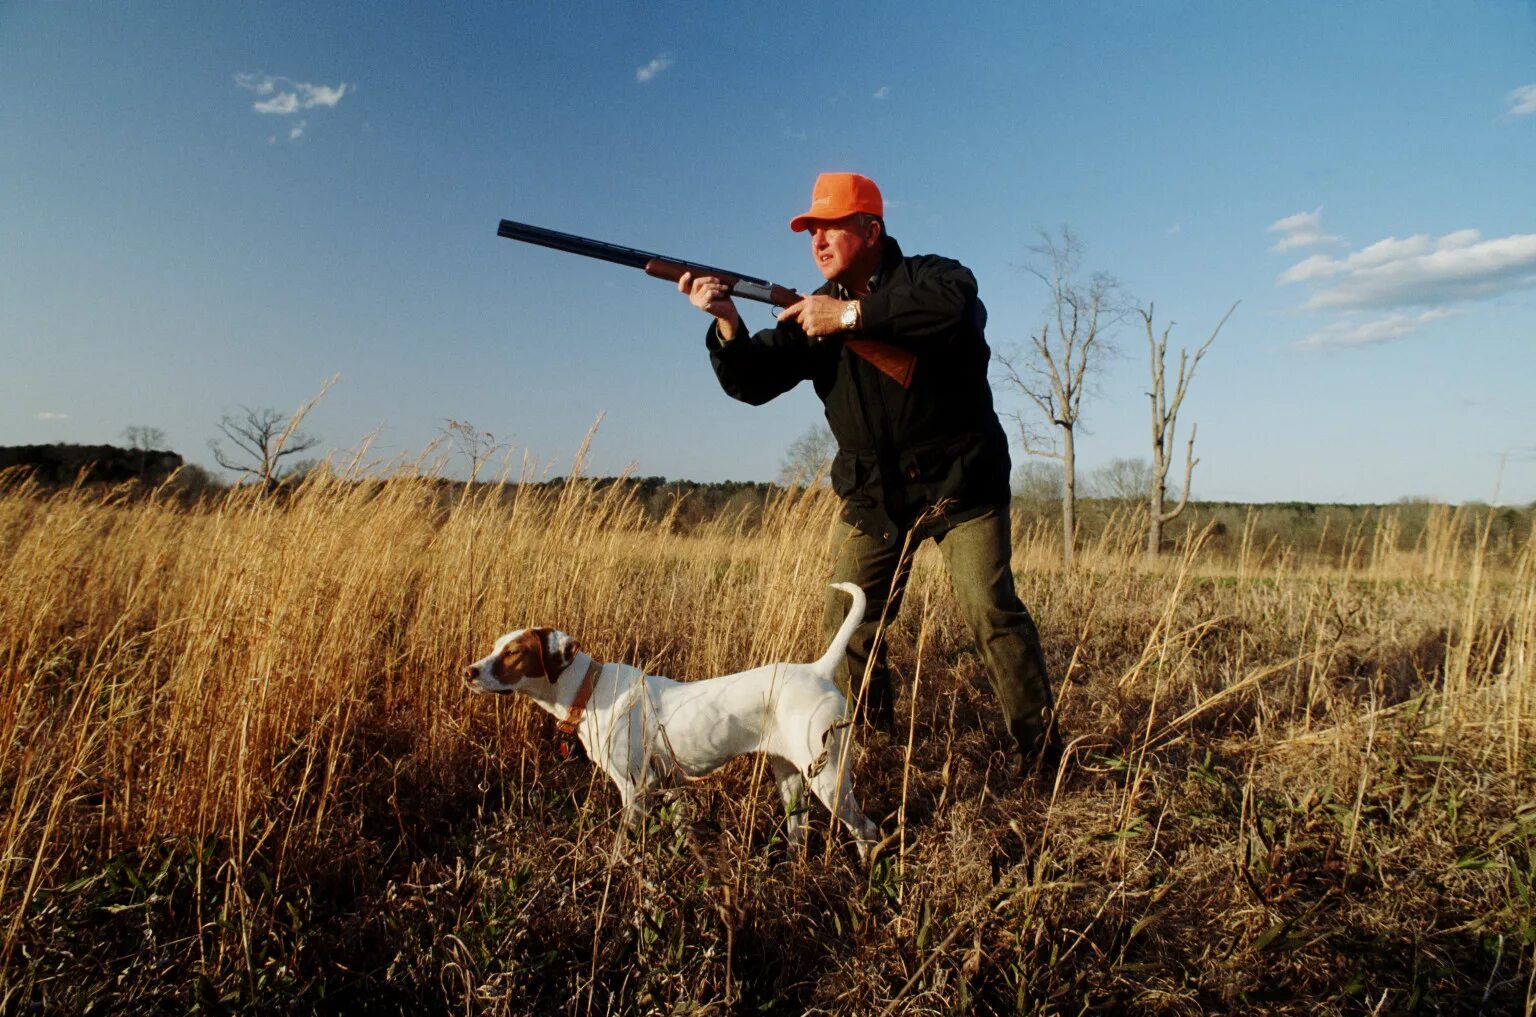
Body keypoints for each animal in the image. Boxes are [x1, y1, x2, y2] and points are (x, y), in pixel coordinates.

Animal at [460, 580, 884, 860]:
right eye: (497, 647)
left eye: (513, 652)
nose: (469, 672)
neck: (588, 689)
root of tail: (818, 670)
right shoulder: (668, 788)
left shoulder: (637, 786)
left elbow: (626, 843)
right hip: (791, 777)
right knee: (800, 834)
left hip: (829, 779)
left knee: (868, 831)